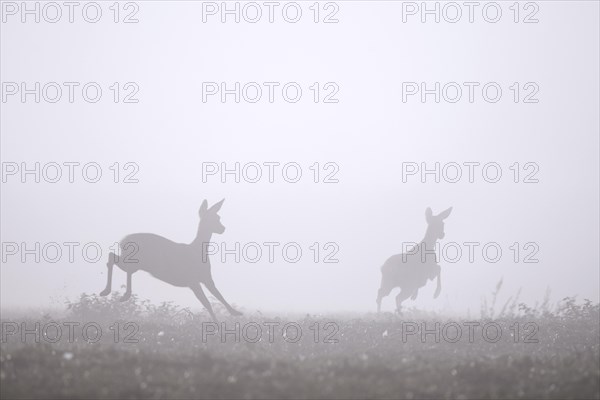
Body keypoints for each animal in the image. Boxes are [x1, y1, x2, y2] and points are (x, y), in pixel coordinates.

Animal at [99, 199, 243, 322]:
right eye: (214, 218)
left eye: (218, 217)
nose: (223, 228)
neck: (197, 251)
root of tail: (123, 241)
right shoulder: (192, 280)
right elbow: (207, 303)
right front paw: (217, 325)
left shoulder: (206, 277)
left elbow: (218, 295)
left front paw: (236, 313)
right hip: (137, 260)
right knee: (115, 260)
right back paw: (118, 293)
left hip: (137, 262)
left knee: (114, 259)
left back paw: (113, 293)